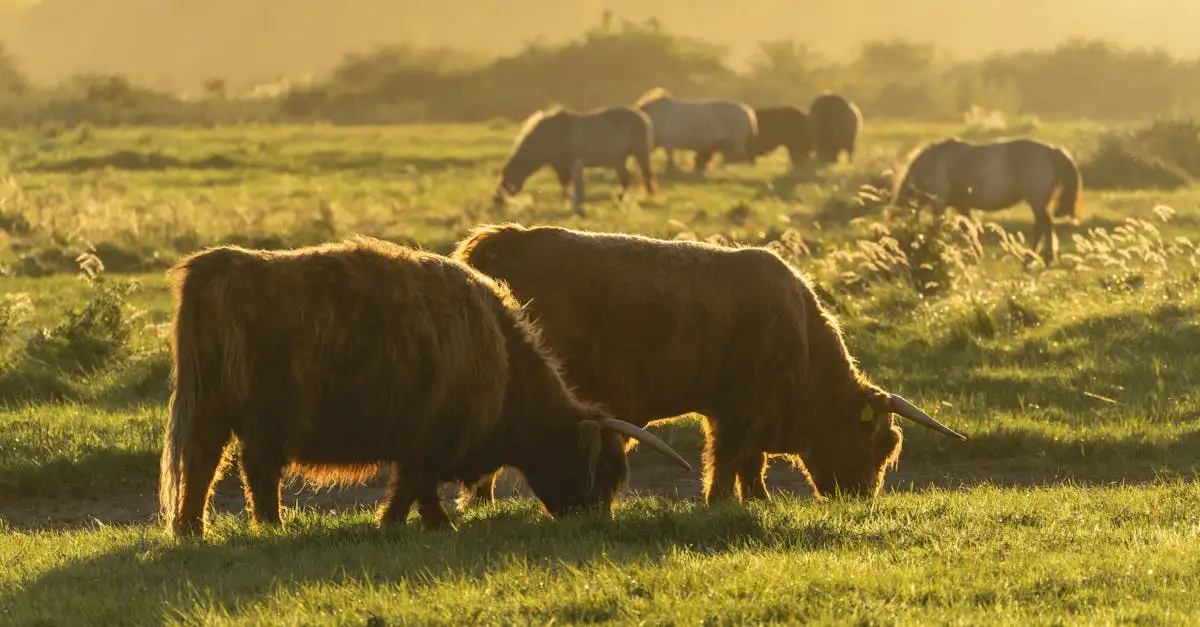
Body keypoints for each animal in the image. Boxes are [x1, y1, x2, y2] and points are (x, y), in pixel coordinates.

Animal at [158, 235, 690, 539]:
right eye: (600, 470)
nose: (595, 520)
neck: (500, 360)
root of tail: (221, 265)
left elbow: (418, 489)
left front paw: (423, 525)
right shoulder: (430, 439)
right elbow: (414, 486)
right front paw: (413, 525)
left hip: (213, 410)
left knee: (205, 464)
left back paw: (192, 530)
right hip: (262, 415)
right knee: (255, 471)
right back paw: (269, 527)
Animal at [451, 224, 967, 505]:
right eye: (879, 443)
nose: (860, 497)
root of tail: (505, 241)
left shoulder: (737, 415)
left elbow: (749, 464)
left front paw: (758, 499)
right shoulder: (737, 413)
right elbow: (729, 460)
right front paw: (720, 501)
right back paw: (480, 500)